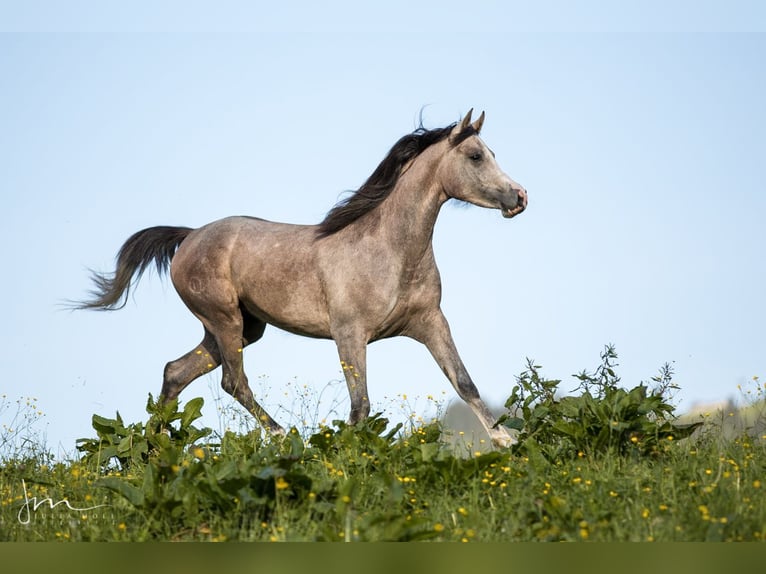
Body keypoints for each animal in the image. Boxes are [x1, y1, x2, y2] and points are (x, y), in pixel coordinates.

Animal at [81, 110, 532, 448]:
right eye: (475, 156)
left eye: (490, 152)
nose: (520, 197)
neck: (391, 251)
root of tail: (189, 236)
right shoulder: (349, 334)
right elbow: (360, 405)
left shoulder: (431, 322)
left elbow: (465, 382)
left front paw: (506, 441)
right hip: (225, 320)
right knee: (233, 381)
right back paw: (283, 437)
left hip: (242, 329)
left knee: (176, 371)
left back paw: (149, 452)